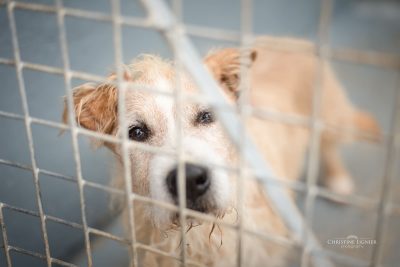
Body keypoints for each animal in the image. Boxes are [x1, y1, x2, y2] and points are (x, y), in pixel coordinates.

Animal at [63, 36, 382, 266]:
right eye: (137, 133)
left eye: (206, 116)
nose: (189, 179)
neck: (202, 233)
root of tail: (289, 39)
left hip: (329, 115)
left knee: (329, 146)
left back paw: (338, 180)